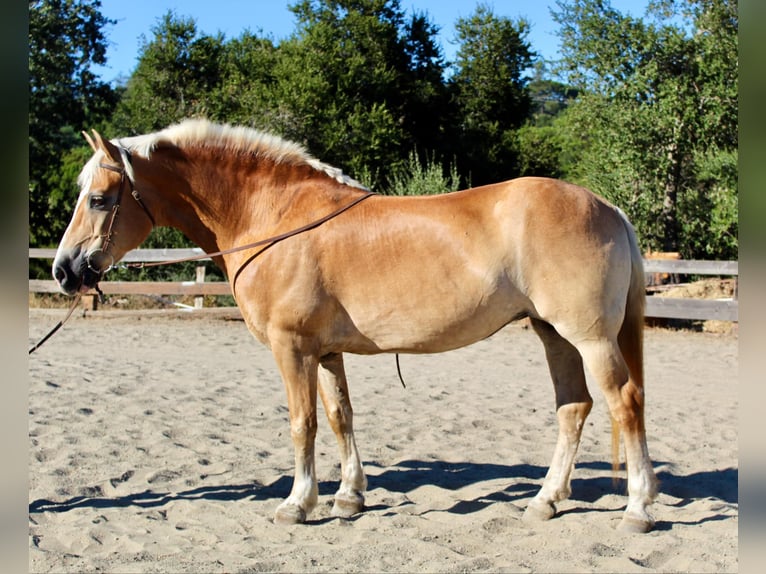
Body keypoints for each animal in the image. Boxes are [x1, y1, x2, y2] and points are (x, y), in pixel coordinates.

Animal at [51, 118, 660, 536]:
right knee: (574, 408)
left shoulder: (291, 350)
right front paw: (348, 497)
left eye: (99, 199)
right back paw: (545, 500)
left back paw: (637, 507)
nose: (64, 271)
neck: (276, 219)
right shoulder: (324, 352)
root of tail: (607, 207)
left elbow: (303, 425)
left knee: (625, 403)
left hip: (589, 338)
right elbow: (340, 417)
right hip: (553, 334)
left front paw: (297, 504)